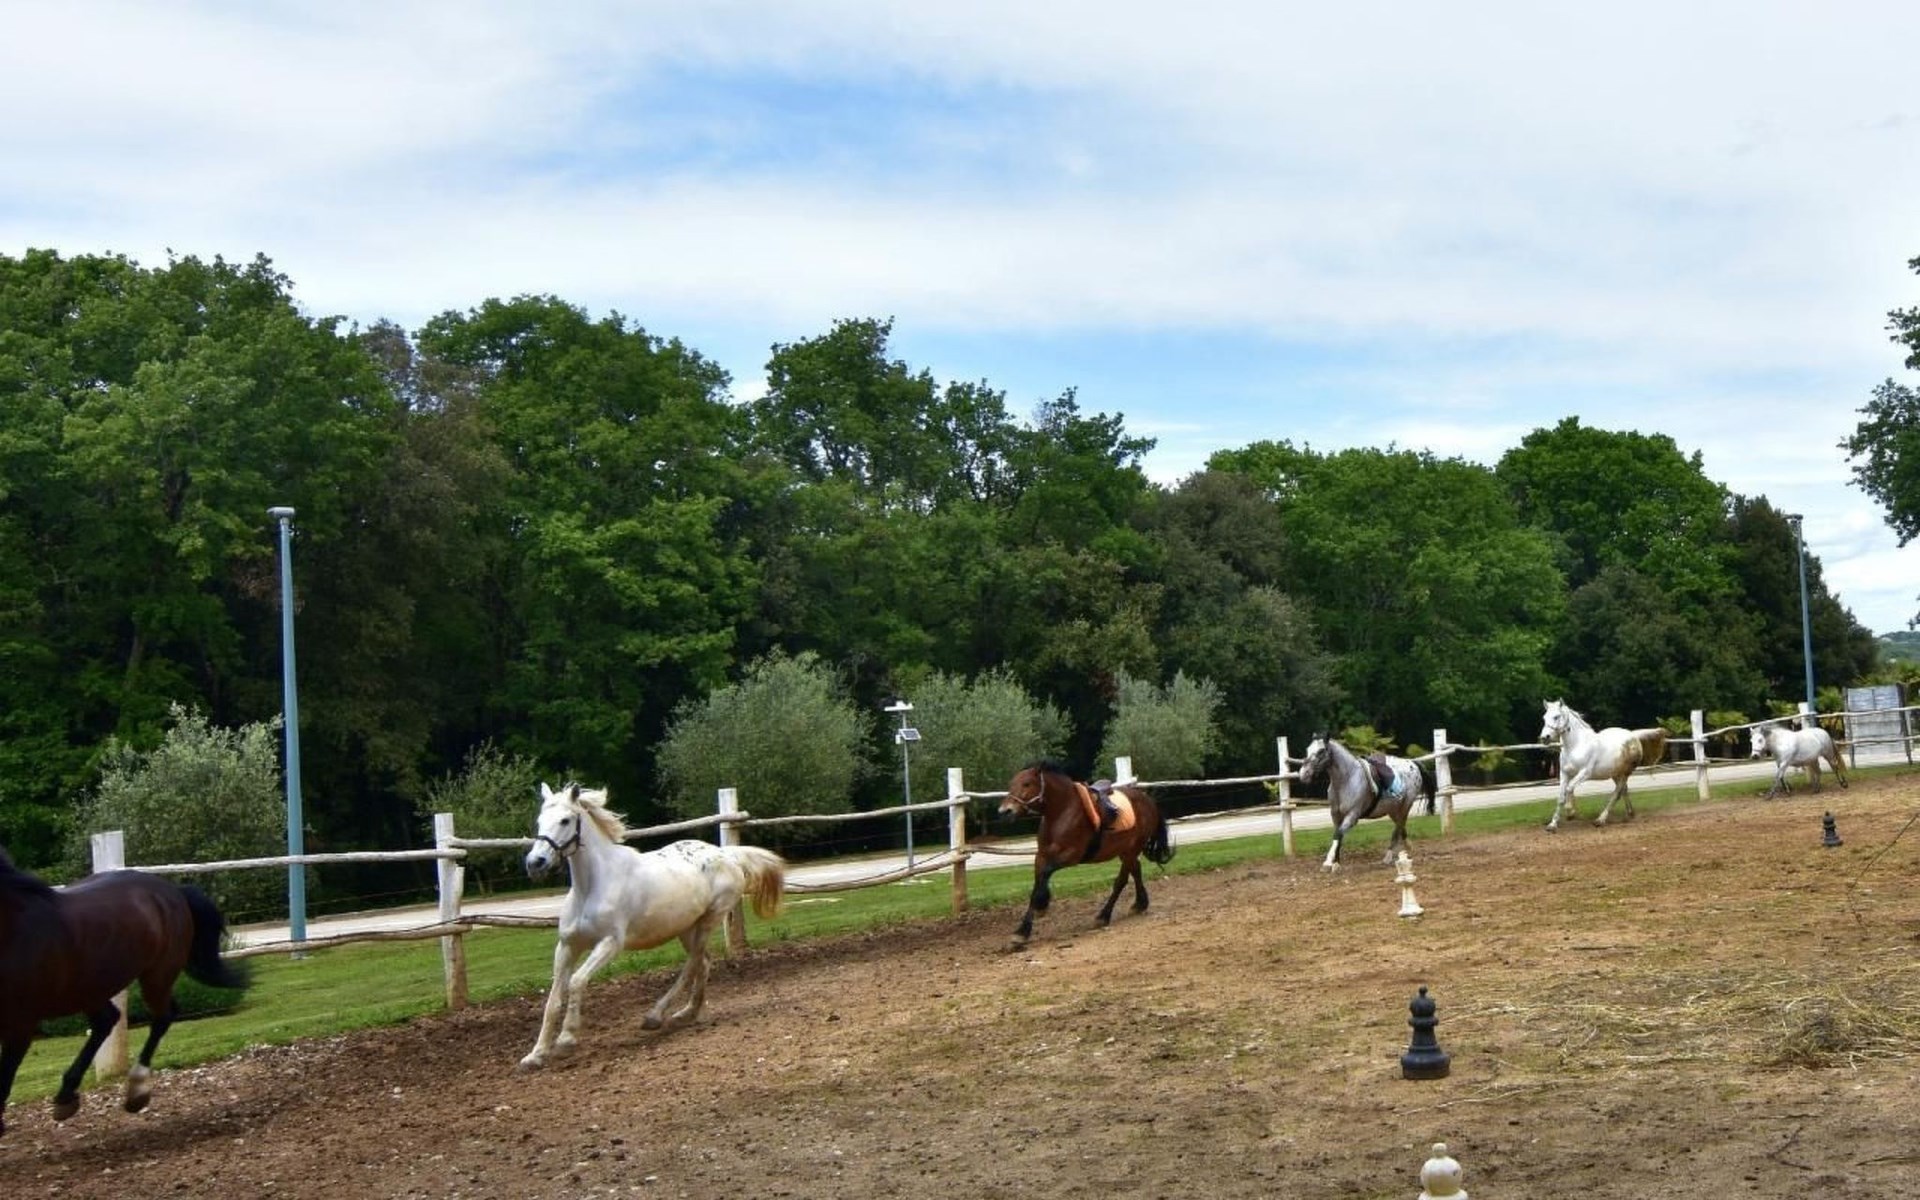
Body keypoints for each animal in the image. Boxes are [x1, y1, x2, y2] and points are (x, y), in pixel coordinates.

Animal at [0, 843, 248, 1137]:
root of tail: (172, 891)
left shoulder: (21, 1024)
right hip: (90, 990)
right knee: (108, 1020)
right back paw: (66, 1097)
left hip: (156, 975)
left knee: (162, 1016)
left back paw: (136, 1092)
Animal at [517, 782, 787, 1070]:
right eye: (540, 821)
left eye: (565, 820)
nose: (536, 863)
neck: (591, 887)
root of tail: (726, 854)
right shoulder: (567, 946)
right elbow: (553, 1000)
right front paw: (535, 1055)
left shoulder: (610, 943)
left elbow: (577, 982)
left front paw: (566, 1040)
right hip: (687, 927)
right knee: (703, 963)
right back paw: (689, 1013)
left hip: (710, 919)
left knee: (693, 963)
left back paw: (656, 1016)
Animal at [997, 761, 1174, 945]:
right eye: (1011, 784)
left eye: (1027, 784)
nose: (1004, 811)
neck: (1063, 812)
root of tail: (1149, 801)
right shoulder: (1041, 857)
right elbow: (1037, 884)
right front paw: (1025, 928)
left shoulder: (1071, 855)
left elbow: (1044, 877)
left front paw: (1034, 914)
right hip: (1125, 851)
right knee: (1136, 871)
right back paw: (1140, 904)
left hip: (1131, 850)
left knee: (1121, 881)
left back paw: (1104, 916)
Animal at [1296, 734, 1433, 870]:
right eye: (1308, 749)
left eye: (1321, 751)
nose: (1304, 774)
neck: (1347, 779)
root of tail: (1413, 764)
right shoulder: (1335, 815)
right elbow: (1339, 836)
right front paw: (1336, 863)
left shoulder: (1352, 816)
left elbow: (1338, 834)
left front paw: (1328, 862)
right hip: (1393, 809)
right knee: (1401, 827)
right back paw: (1407, 847)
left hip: (1406, 806)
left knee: (1398, 827)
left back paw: (1388, 857)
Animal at [1539, 699, 1669, 831]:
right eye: (1544, 717)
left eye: (1556, 716)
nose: (1544, 738)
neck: (1576, 746)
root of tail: (1633, 736)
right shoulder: (1564, 773)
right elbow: (1560, 797)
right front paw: (1552, 824)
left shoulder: (1585, 773)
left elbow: (1569, 788)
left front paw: (1570, 812)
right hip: (1616, 773)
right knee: (1624, 790)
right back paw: (1630, 814)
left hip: (1626, 773)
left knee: (1617, 793)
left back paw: (1600, 820)